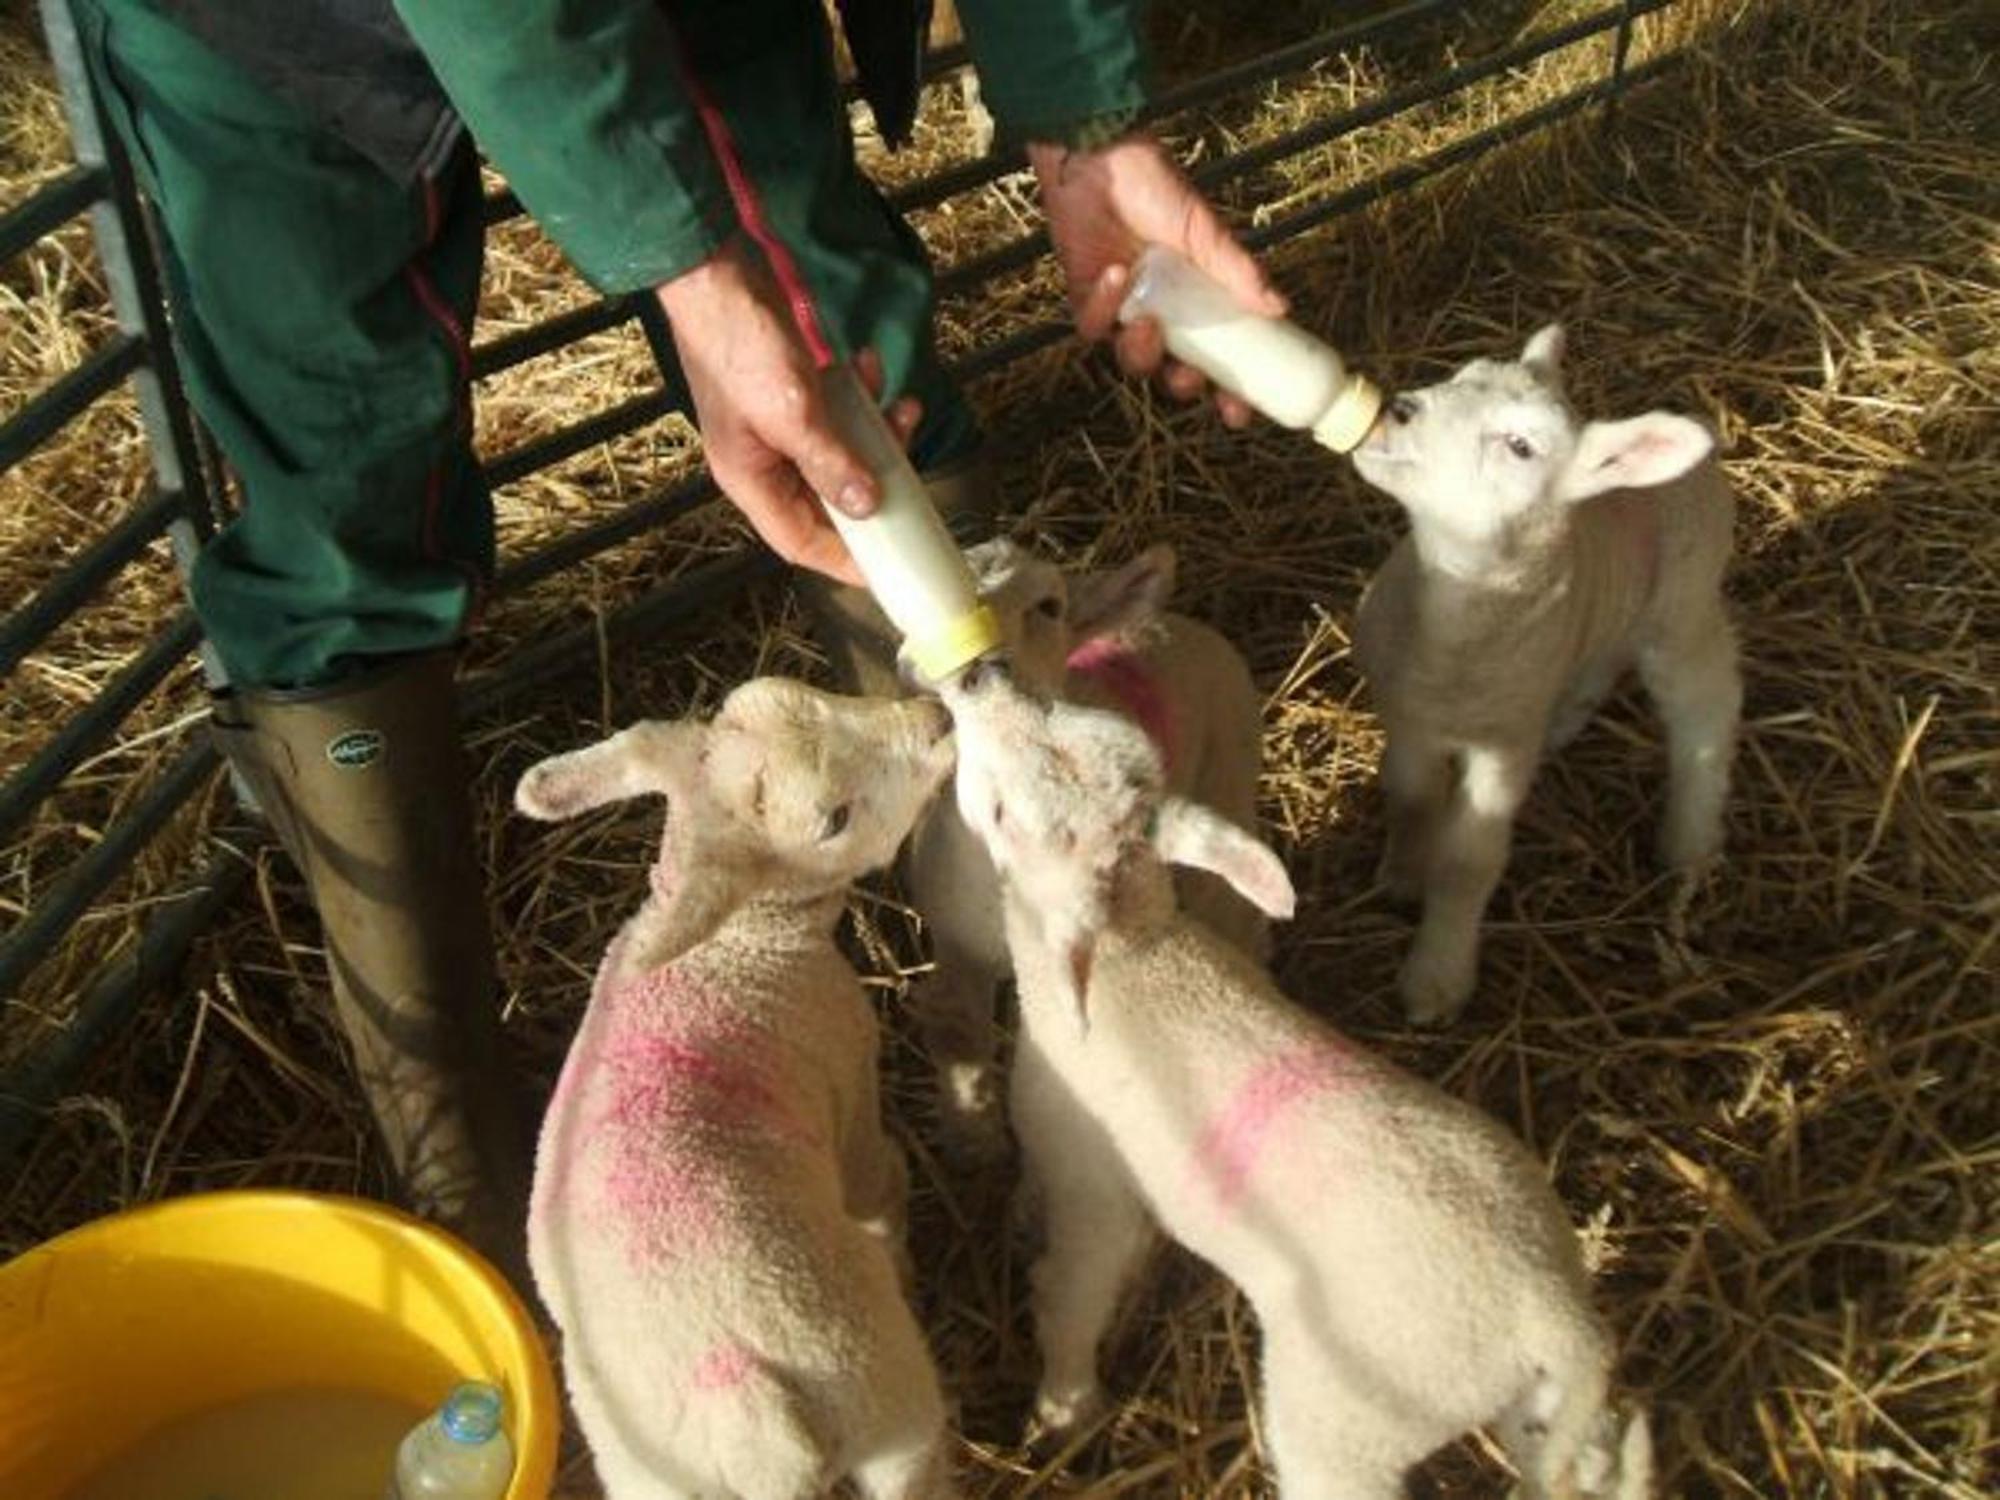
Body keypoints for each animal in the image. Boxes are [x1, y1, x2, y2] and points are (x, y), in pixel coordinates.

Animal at [520, 680, 964, 1500]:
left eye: (804, 692)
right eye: (833, 819)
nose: (936, 718)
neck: (736, 943)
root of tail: (754, 1409)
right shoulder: (849, 1071)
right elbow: (880, 1184)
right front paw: (903, 1251)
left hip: (647, 1476)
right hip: (891, 1404)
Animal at [912, 540, 1264, 1160]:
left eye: (1049, 604)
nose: (979, 667)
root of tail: (1177, 623)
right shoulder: (955, 940)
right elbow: (955, 1031)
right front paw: (972, 1142)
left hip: (1231, 772)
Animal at [936, 672, 1656, 1500]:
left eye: (998, 812)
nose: (975, 679)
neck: (1137, 954)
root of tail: (1552, 1314)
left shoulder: (1093, 1185)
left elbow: (1070, 1295)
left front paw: (1063, 1410)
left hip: (1350, 1420)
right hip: (1534, 1391)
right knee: (1592, 1448)